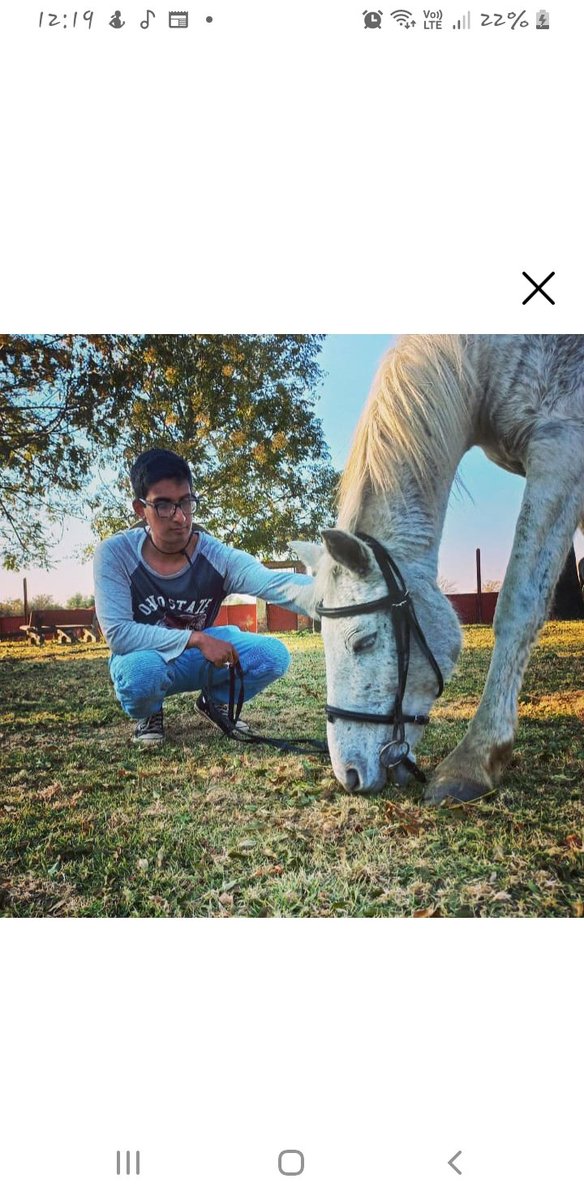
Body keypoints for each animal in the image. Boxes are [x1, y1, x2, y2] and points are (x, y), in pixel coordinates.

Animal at [291, 335, 584, 803]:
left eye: (363, 642)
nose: (348, 774)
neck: (483, 361)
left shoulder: (562, 449)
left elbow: (519, 603)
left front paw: (476, 758)